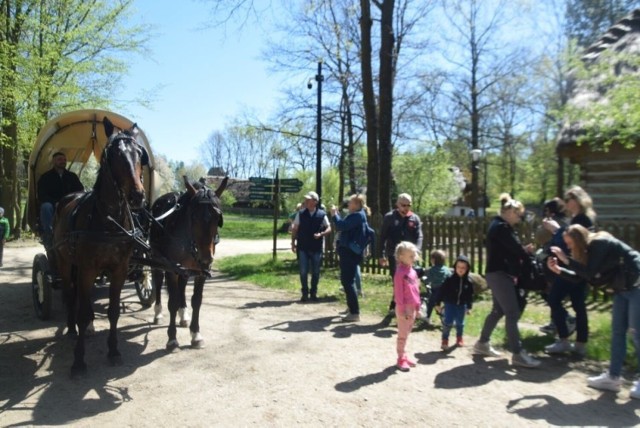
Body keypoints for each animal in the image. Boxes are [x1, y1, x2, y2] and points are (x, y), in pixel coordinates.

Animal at [52, 116, 146, 374]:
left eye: (139, 154)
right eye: (114, 154)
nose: (137, 196)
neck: (109, 219)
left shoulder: (119, 270)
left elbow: (113, 311)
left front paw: (113, 351)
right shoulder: (86, 269)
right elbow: (83, 312)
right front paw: (78, 361)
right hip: (65, 263)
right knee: (69, 294)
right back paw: (72, 330)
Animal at [150, 176, 228, 352]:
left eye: (217, 218)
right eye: (194, 216)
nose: (206, 258)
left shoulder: (200, 271)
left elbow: (197, 301)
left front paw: (196, 334)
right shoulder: (171, 269)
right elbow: (172, 302)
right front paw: (172, 339)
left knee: (182, 285)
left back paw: (183, 314)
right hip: (157, 259)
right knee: (157, 281)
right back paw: (158, 313)